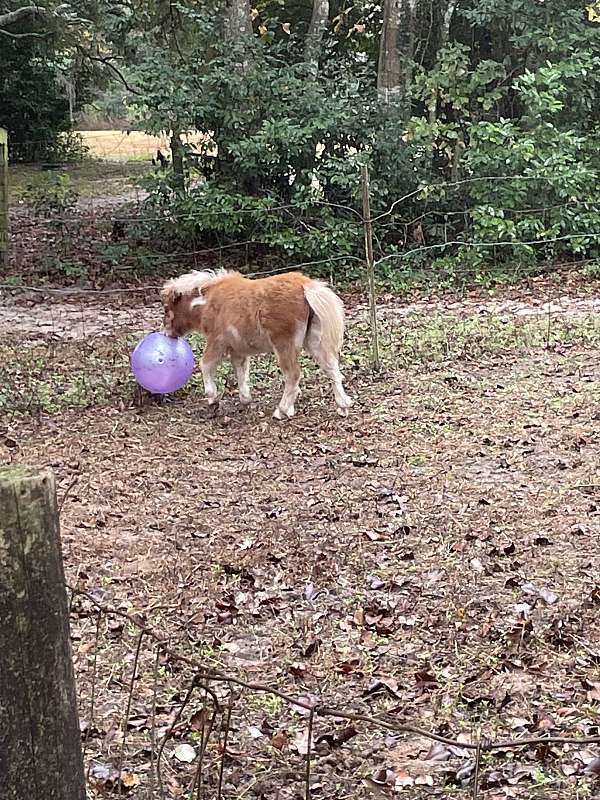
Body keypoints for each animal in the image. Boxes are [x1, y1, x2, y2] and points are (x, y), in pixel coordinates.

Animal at [162, 268, 354, 418]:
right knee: (332, 369)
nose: (165, 333)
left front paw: (212, 397)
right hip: (314, 340)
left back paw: (281, 411)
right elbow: (241, 370)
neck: (207, 302)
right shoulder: (238, 349)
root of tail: (305, 286)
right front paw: (245, 399)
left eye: (166, 309)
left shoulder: (217, 341)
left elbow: (206, 364)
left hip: (284, 344)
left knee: (293, 374)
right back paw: (343, 405)